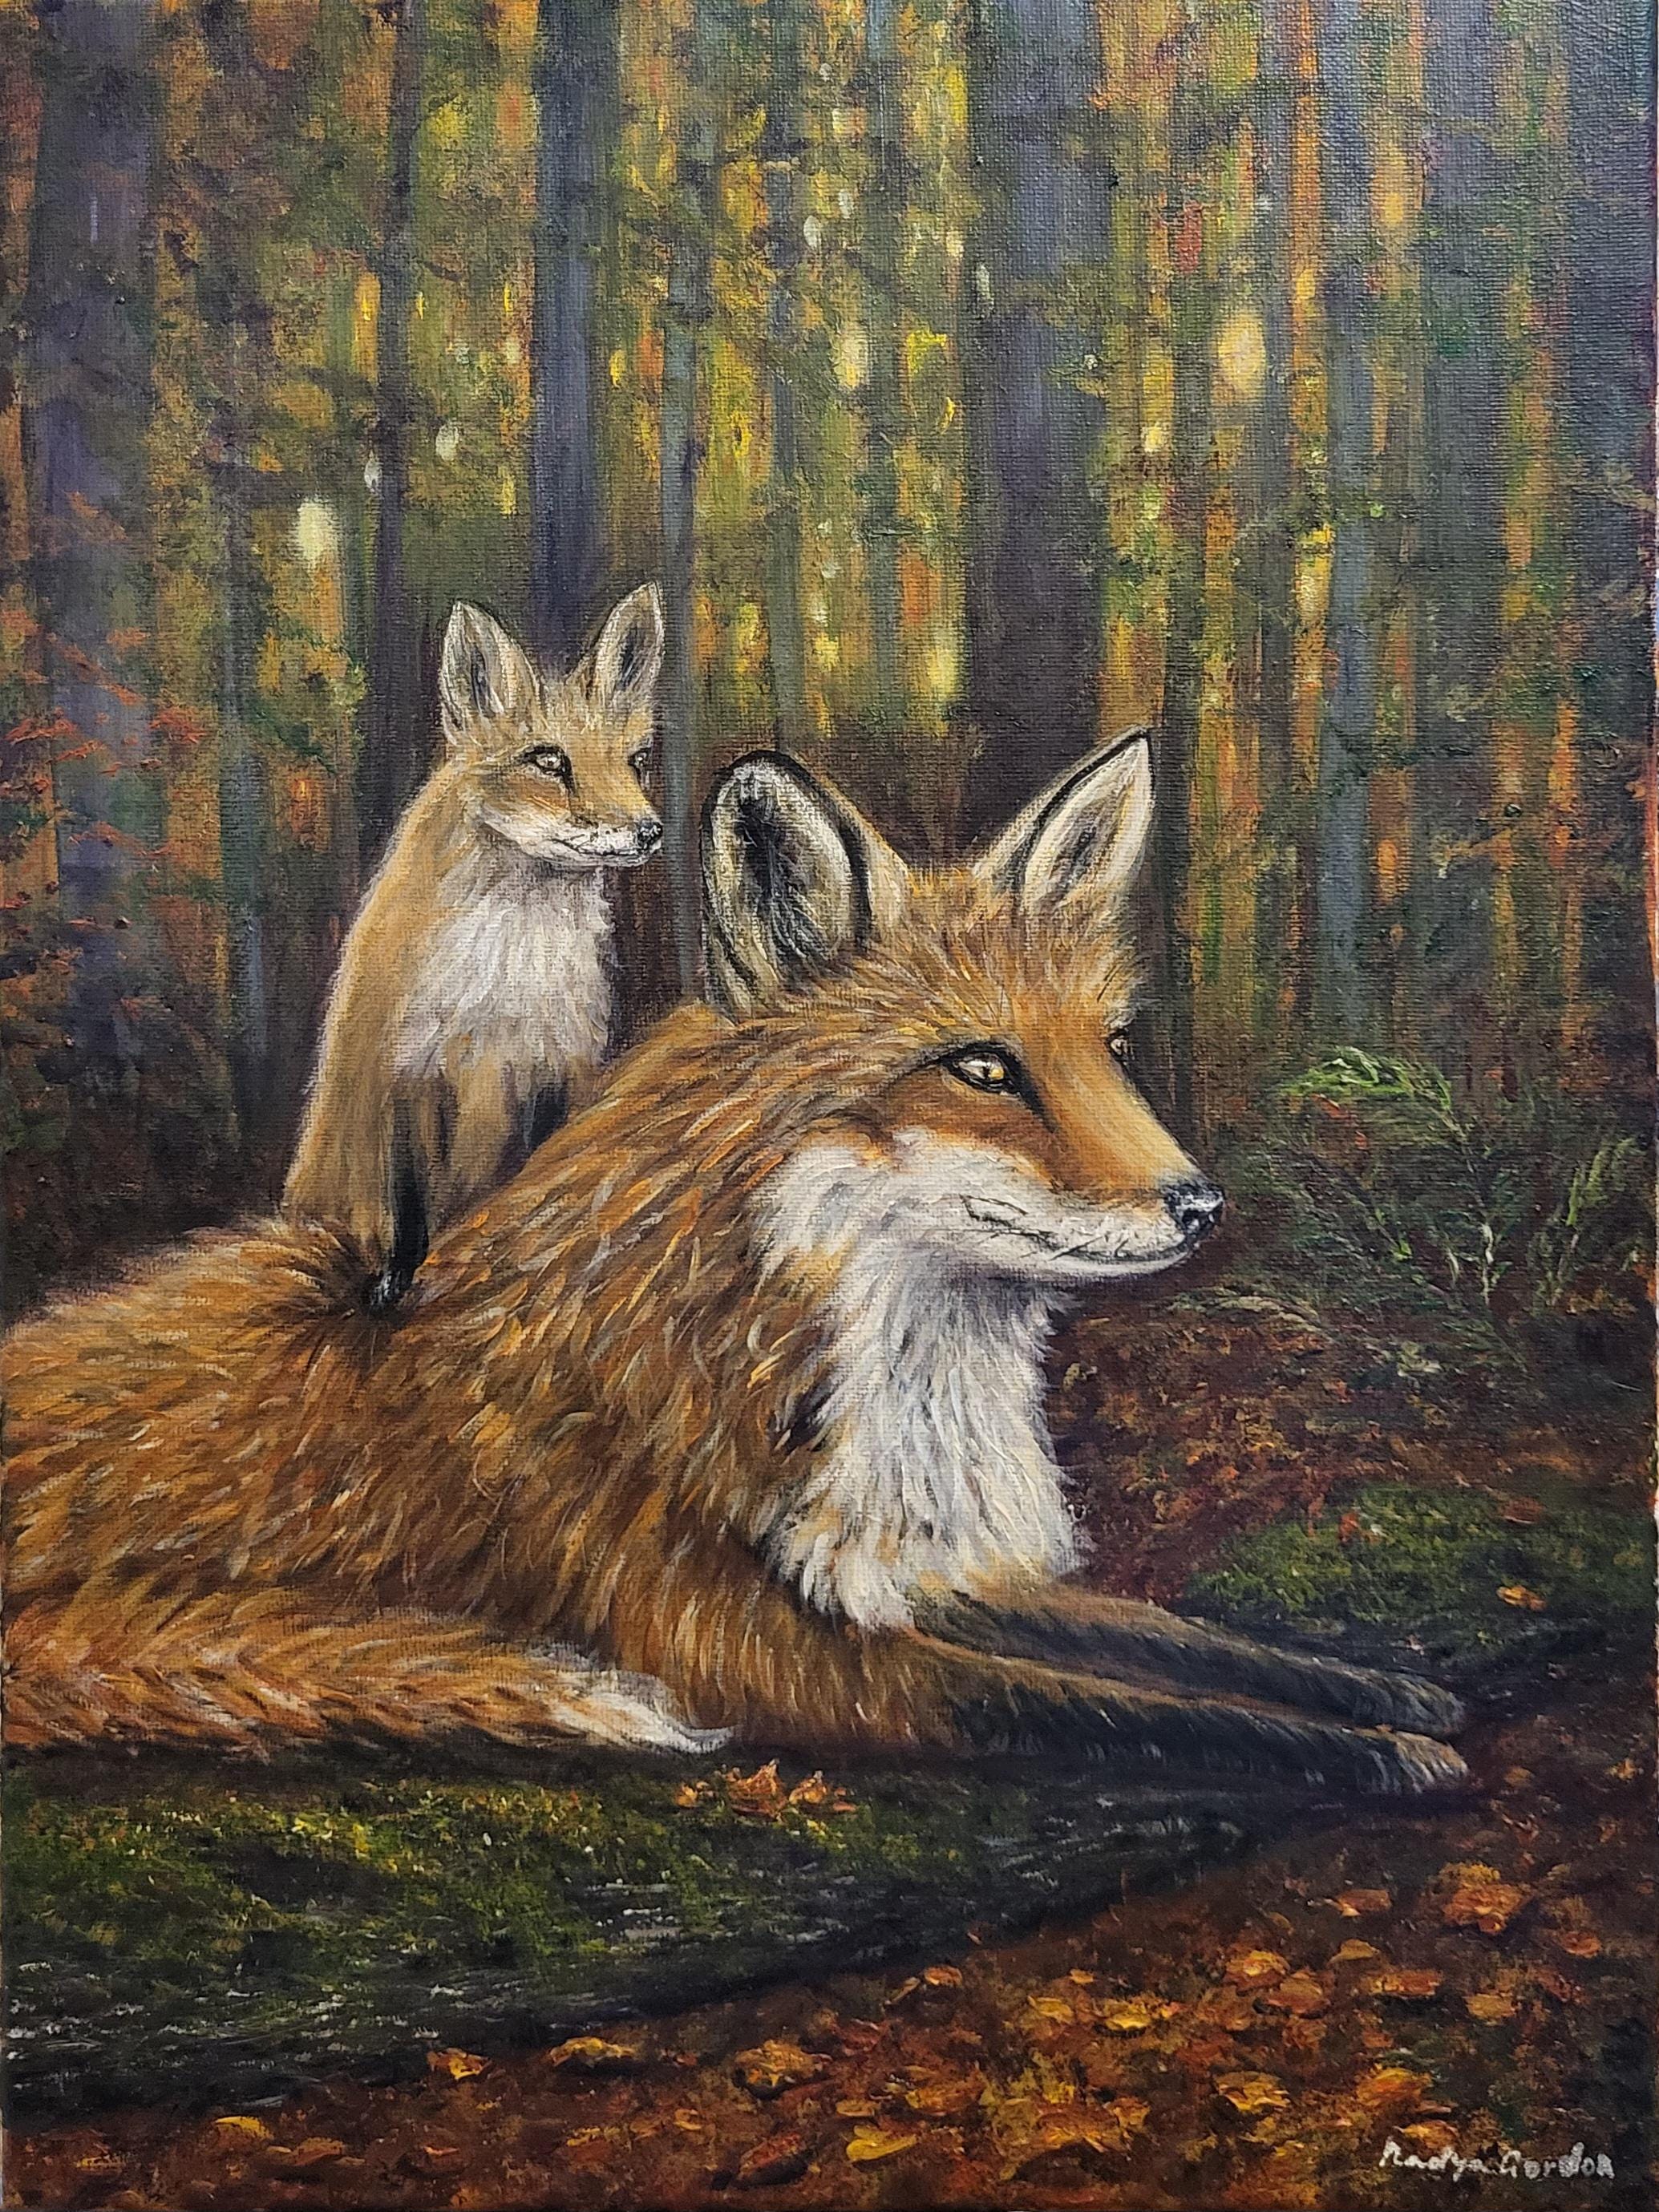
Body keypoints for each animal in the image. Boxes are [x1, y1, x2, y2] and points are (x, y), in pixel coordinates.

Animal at [3, 735, 1468, 1795]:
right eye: (983, 1066)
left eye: (1106, 1048)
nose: (1200, 1204)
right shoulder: (763, 1650)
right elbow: (1113, 1706)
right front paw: (1381, 1751)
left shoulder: (916, 1572)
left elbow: (1172, 1640)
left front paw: (1383, 1685)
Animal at [284, 583, 665, 1311]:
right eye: (549, 760)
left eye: (634, 762)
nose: (649, 830)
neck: (506, 984)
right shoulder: (403, 1077)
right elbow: (408, 1208)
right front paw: (395, 1284)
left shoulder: (559, 1068)